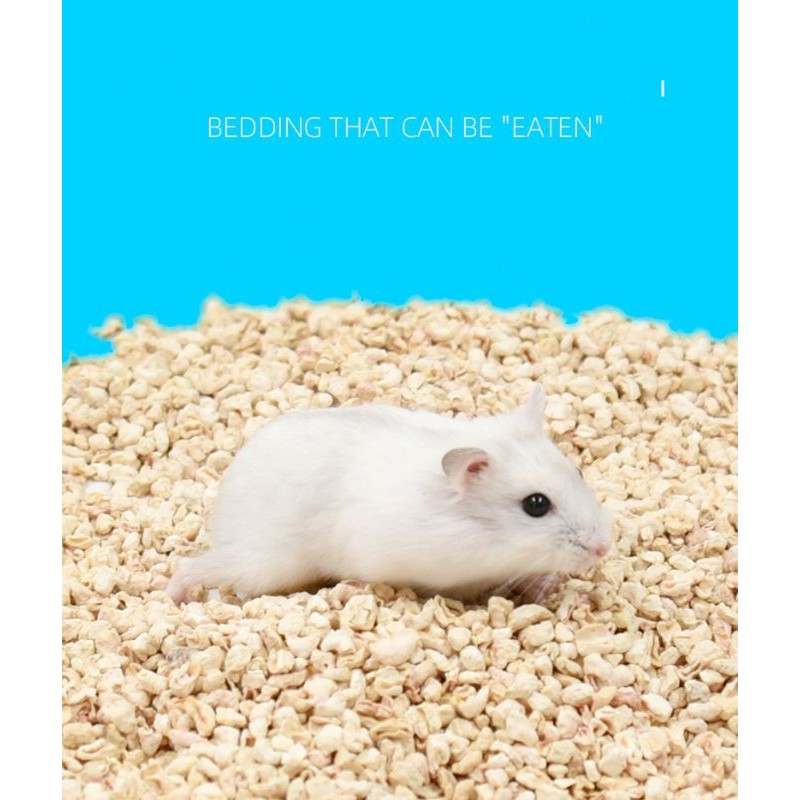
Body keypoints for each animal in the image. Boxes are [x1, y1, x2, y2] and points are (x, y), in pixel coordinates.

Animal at [168, 383, 613, 605]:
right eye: (535, 505)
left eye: (578, 471)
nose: (604, 548)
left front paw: (549, 586)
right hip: (263, 565)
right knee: (194, 566)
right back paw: (176, 597)